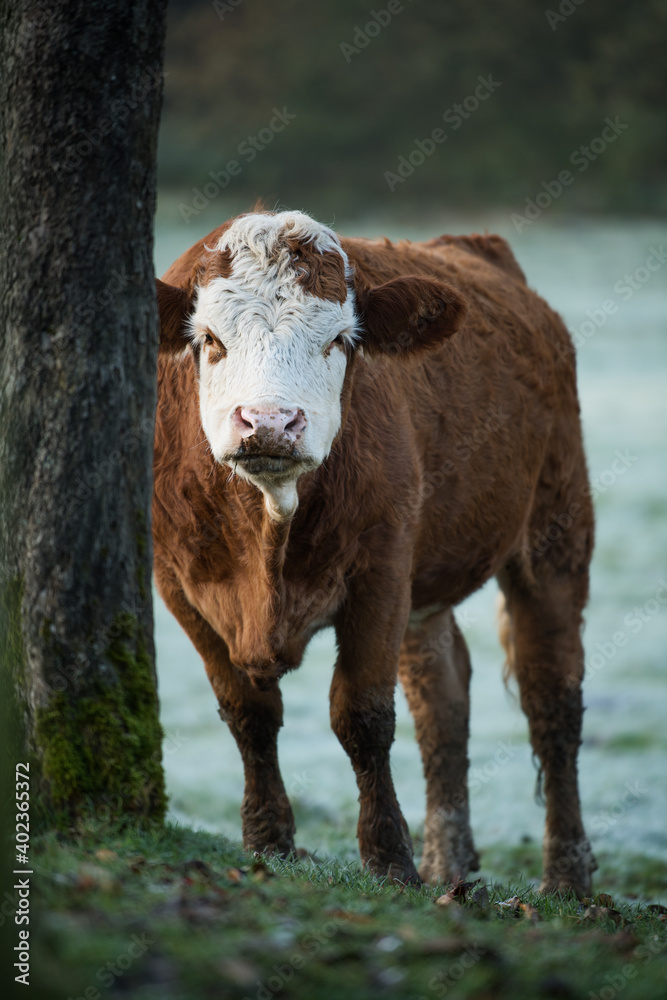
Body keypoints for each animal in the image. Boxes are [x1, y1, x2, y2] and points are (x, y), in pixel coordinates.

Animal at [154, 207, 596, 896]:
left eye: (340, 340)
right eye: (209, 340)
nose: (270, 422)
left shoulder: (380, 572)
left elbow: (362, 716)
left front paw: (389, 858)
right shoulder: (177, 584)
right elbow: (250, 713)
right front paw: (269, 843)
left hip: (556, 529)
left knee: (552, 698)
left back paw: (568, 876)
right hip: (428, 587)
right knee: (443, 696)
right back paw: (450, 861)